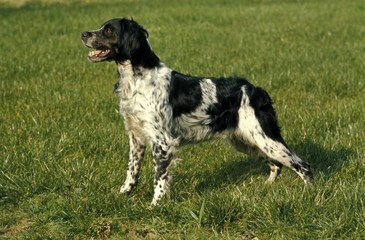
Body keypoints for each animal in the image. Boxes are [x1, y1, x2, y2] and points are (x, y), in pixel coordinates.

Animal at [82, 18, 312, 206]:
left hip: (266, 138)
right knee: (276, 165)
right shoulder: (136, 137)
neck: (138, 79)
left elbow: (159, 178)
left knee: (303, 165)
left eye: (109, 30)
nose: (83, 34)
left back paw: (309, 196)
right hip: (248, 141)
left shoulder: (163, 142)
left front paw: (155, 206)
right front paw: (122, 194)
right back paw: (267, 187)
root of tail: (256, 89)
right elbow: (132, 171)